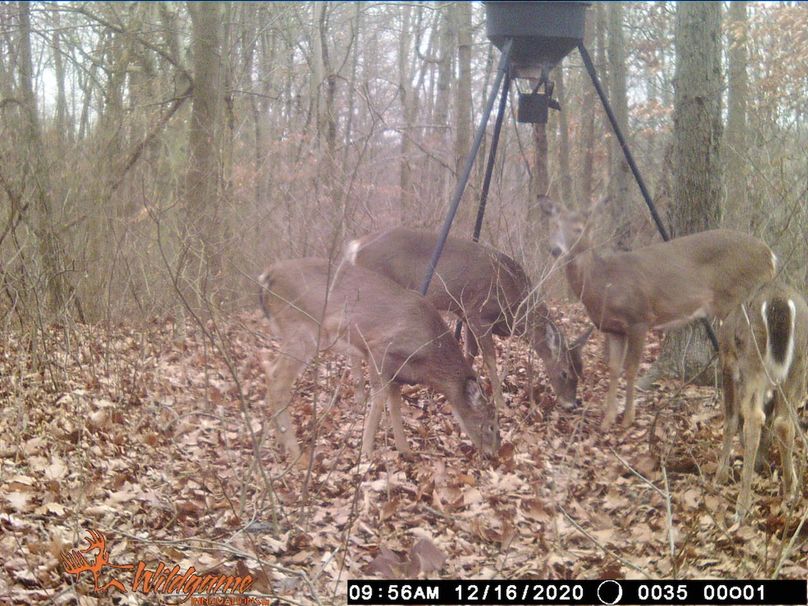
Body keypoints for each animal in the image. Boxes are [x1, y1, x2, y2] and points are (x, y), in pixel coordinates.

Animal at [257, 257, 500, 461]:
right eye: (490, 426)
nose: (495, 454)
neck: (429, 354)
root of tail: (267, 276)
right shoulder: (379, 350)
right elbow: (379, 399)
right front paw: (366, 453)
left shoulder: (398, 373)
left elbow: (395, 405)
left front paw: (406, 451)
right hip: (302, 331)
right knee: (278, 378)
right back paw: (295, 452)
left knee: (268, 366)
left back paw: (278, 441)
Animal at [345, 227, 591, 412]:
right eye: (565, 372)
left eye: (581, 372)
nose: (571, 405)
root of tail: (355, 246)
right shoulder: (479, 313)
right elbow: (489, 359)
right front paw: (502, 405)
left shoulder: (465, 313)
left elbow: (469, 353)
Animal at [542, 196, 777, 430]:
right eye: (554, 225)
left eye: (578, 229)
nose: (555, 249)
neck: (605, 284)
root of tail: (771, 257)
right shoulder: (613, 328)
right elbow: (614, 368)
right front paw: (607, 420)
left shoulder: (639, 318)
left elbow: (631, 368)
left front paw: (627, 419)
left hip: (736, 301)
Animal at [716, 282, 808, 521]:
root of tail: (780, 302)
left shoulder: (727, 361)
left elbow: (730, 420)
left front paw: (720, 474)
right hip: (797, 365)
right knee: (784, 421)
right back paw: (790, 489)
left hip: (752, 360)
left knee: (755, 419)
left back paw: (742, 505)